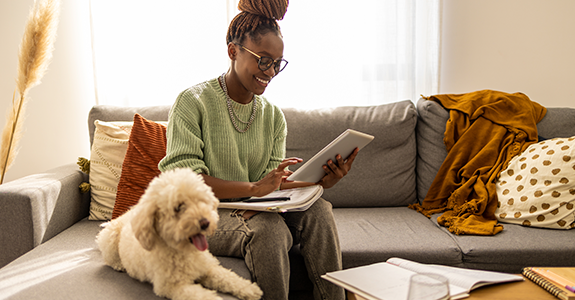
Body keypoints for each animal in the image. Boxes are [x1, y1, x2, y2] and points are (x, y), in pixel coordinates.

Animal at [97, 168, 264, 300]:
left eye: (201, 201)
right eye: (178, 208)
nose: (205, 222)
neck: (184, 252)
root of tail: (124, 216)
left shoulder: (208, 268)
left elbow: (228, 277)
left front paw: (250, 289)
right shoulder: (173, 287)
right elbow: (203, 296)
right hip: (109, 238)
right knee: (109, 258)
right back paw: (119, 265)